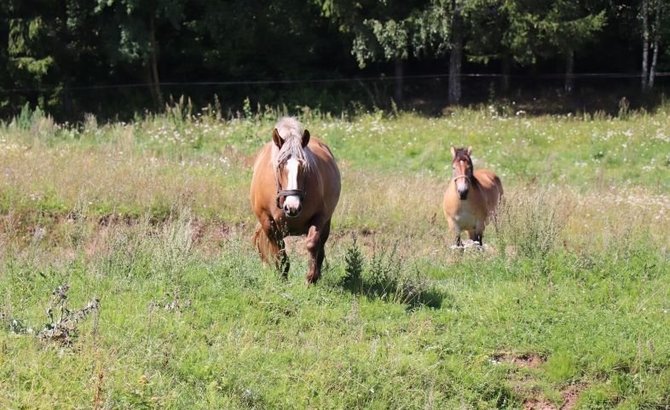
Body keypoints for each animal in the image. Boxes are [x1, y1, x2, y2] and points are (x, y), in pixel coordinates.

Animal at [251, 117, 342, 284]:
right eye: (280, 165)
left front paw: (311, 277)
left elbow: (313, 244)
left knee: (321, 245)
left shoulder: (320, 217)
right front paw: (282, 276)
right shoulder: (267, 221)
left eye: (304, 166)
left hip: (327, 221)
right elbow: (279, 250)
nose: (292, 207)